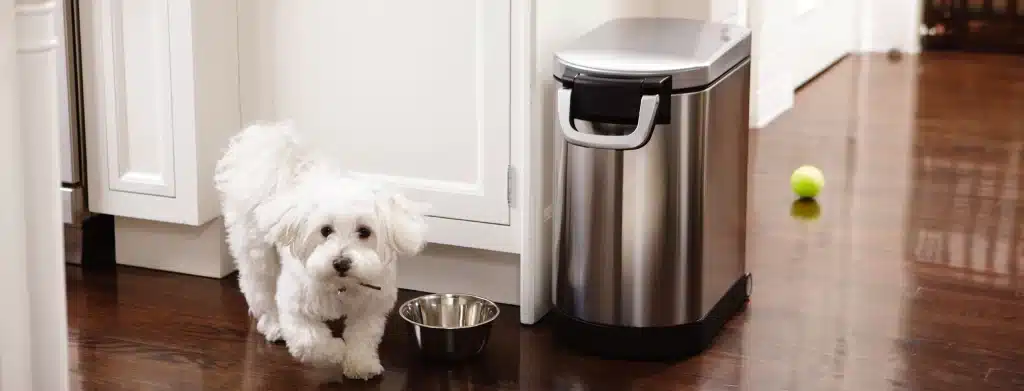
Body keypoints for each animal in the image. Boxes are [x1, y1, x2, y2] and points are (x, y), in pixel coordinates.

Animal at [212, 122, 428, 378]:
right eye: (325, 230)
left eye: (364, 231)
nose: (341, 262)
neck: (341, 285)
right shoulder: (296, 305)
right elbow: (311, 342)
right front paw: (336, 352)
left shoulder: (371, 304)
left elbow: (363, 336)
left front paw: (361, 364)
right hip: (256, 251)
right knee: (260, 289)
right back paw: (274, 325)